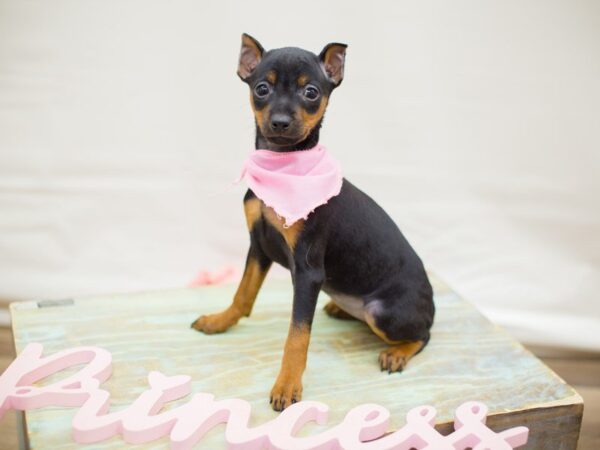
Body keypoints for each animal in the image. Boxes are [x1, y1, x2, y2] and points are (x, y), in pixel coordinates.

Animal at [190, 35, 434, 412]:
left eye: (311, 93)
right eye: (261, 88)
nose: (279, 122)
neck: (282, 168)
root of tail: (432, 303)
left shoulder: (308, 272)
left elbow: (297, 335)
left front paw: (287, 385)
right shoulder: (258, 246)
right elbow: (243, 294)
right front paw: (221, 321)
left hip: (383, 312)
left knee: (423, 335)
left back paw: (397, 353)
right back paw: (339, 307)